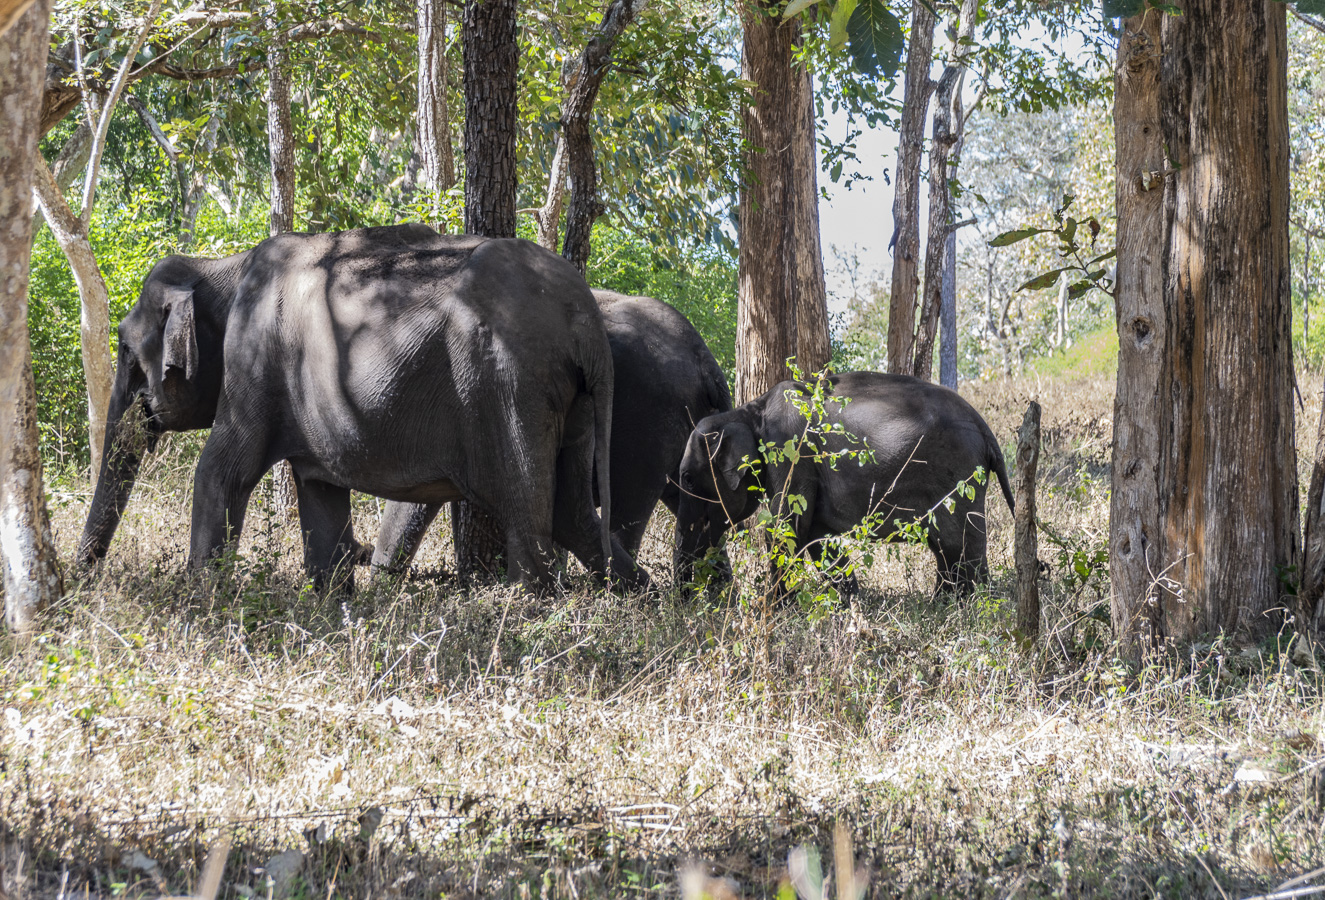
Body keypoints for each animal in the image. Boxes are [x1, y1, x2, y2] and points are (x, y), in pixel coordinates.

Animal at [78, 224, 644, 592]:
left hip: (509, 385)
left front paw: (199, 602)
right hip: (571, 401)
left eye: (125, 351)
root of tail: (584, 320)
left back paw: (527, 615)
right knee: (573, 511)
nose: (86, 586)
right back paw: (641, 599)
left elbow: (221, 470)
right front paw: (335, 607)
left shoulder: (253, 360)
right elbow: (319, 492)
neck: (221, 268)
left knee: (529, 511)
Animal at [674, 371, 1015, 596]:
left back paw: (968, 604)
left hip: (958, 473)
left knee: (957, 542)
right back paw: (945, 602)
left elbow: (786, 528)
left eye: (688, 480)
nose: (686, 599)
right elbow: (818, 538)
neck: (749, 410)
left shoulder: (791, 452)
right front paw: (849, 604)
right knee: (946, 546)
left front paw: (773, 608)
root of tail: (985, 428)